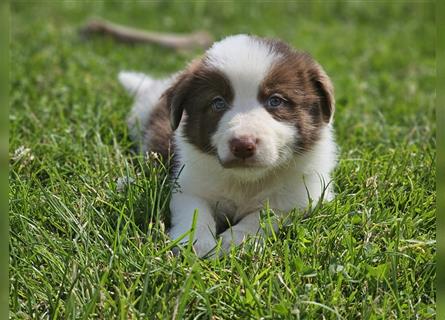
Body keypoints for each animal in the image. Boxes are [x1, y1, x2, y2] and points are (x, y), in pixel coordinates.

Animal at [119, 34, 336, 258]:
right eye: (218, 103)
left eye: (275, 101)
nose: (242, 145)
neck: (246, 181)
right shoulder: (188, 184)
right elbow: (195, 210)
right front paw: (197, 243)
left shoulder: (302, 197)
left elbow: (264, 215)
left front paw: (234, 242)